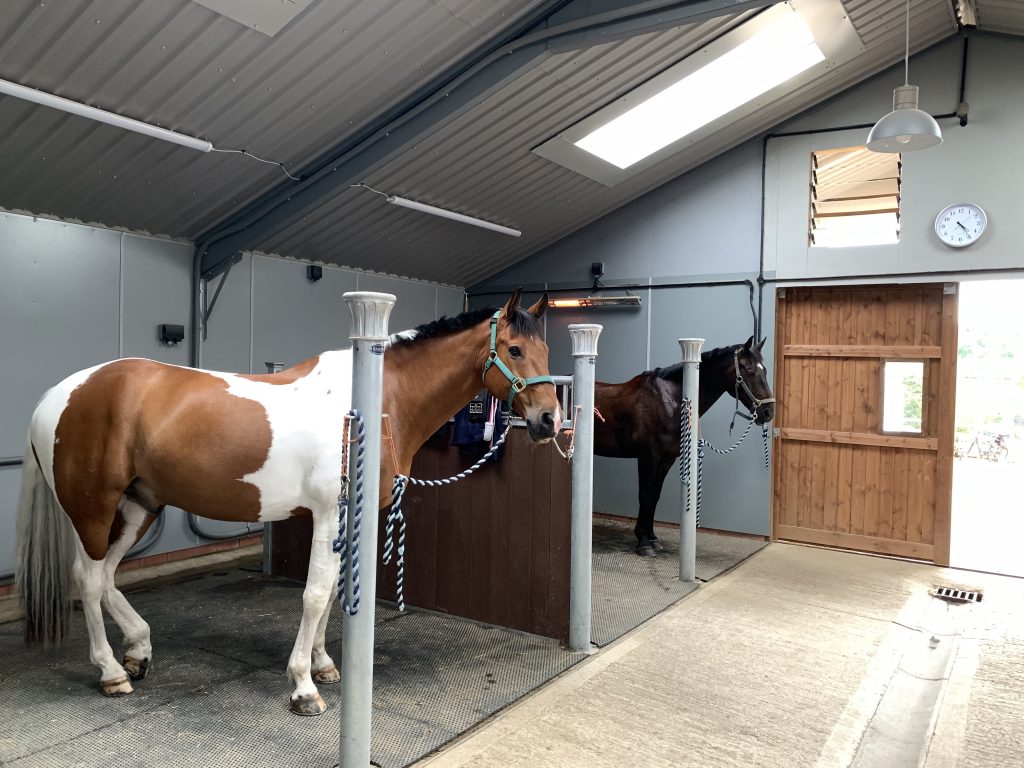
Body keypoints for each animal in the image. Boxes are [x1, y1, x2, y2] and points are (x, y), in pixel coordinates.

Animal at [15, 290, 560, 717]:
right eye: (514, 349)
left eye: (547, 349)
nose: (550, 420)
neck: (369, 406)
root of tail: (57, 394)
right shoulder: (328, 513)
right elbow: (316, 593)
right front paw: (302, 687)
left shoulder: (348, 518)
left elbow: (333, 589)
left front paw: (323, 665)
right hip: (92, 510)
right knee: (88, 580)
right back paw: (111, 672)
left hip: (137, 507)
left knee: (107, 576)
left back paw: (138, 649)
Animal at [592, 337, 775, 557]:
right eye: (748, 370)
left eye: (765, 370)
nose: (768, 411)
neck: (669, 400)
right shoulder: (647, 457)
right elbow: (645, 495)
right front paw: (643, 542)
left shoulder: (667, 460)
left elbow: (655, 496)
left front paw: (652, 538)